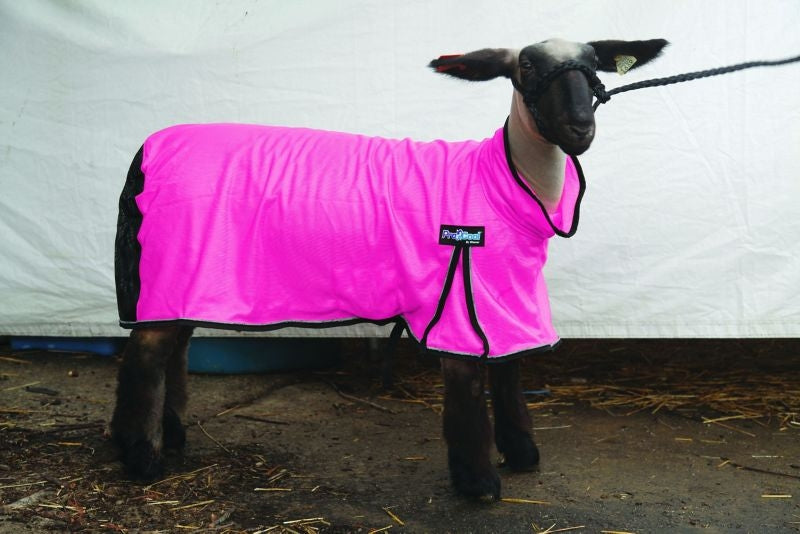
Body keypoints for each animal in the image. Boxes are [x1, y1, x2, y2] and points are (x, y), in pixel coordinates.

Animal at [111, 37, 668, 501]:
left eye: (594, 64)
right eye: (527, 66)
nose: (580, 128)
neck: (504, 181)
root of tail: (149, 148)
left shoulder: (506, 294)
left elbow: (509, 372)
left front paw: (522, 455)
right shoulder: (460, 297)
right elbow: (469, 387)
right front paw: (478, 483)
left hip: (183, 277)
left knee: (176, 348)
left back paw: (172, 437)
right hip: (172, 261)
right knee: (146, 354)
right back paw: (141, 459)